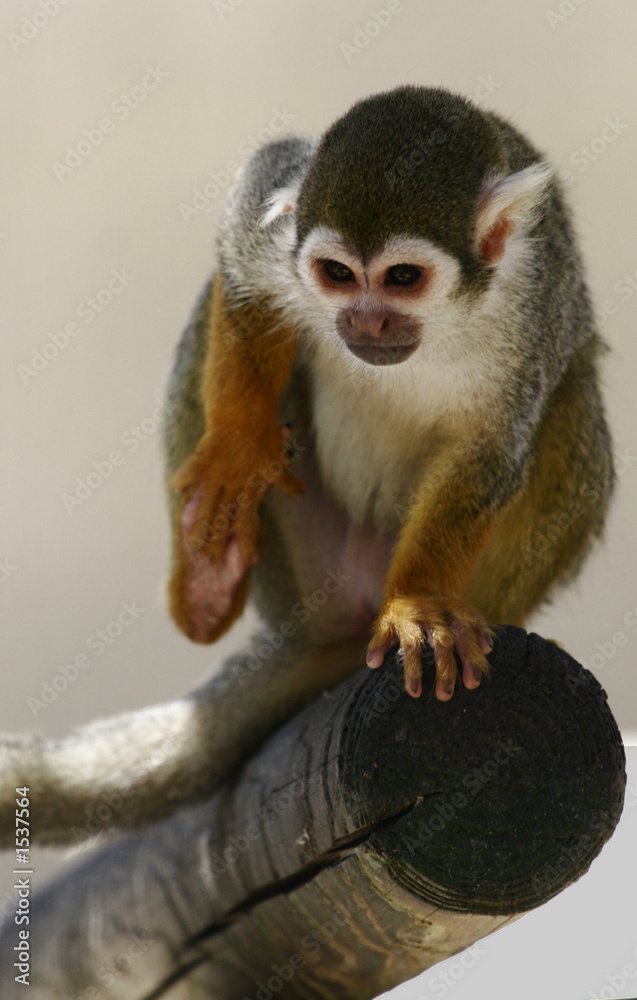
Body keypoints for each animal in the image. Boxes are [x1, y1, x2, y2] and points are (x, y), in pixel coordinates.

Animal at [0, 86, 614, 847]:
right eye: (337, 275)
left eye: (402, 279)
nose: (367, 324)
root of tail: (338, 627)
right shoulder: (281, 231)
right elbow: (243, 268)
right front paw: (239, 449)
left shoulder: (533, 303)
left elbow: (491, 451)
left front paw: (421, 601)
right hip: (298, 574)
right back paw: (207, 583)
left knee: (574, 394)